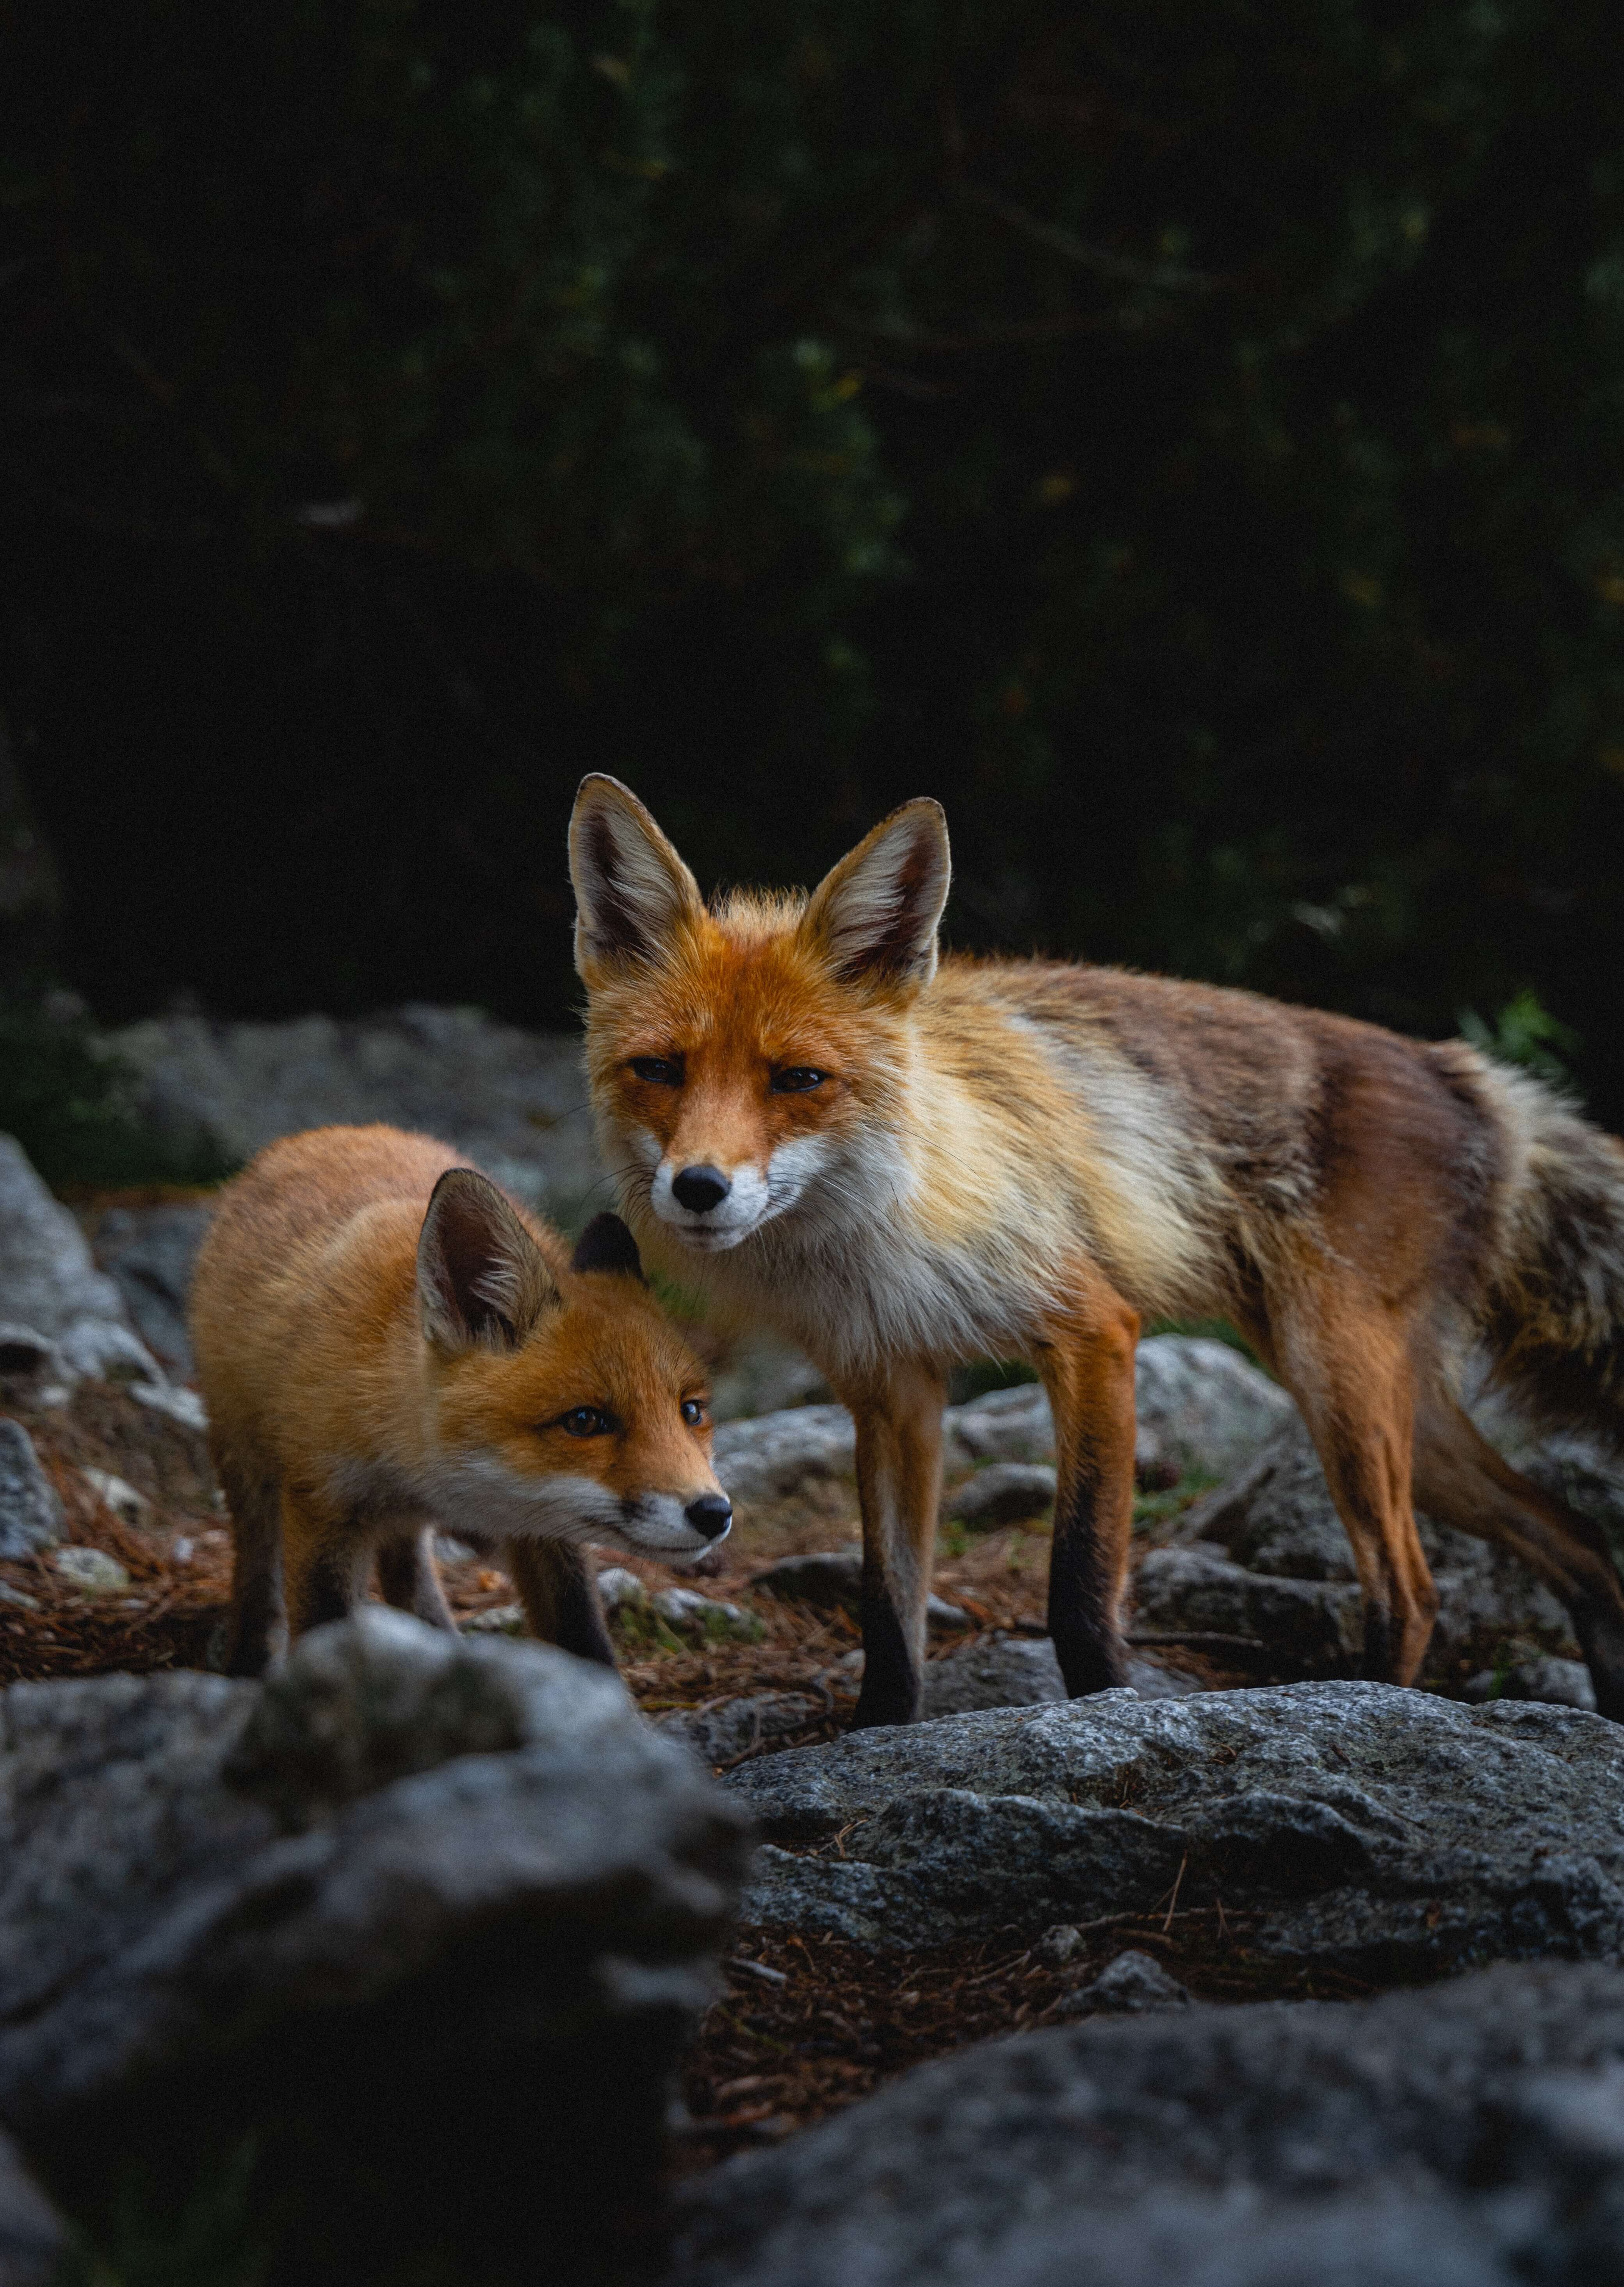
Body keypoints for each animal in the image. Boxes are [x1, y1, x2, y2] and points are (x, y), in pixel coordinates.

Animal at [191, 1125, 732, 1683]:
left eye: (691, 1412)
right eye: (584, 1421)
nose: (714, 1512)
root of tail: (323, 1134)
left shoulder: (544, 1533)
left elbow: (583, 1639)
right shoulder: (322, 1506)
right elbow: (323, 1633)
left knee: (407, 1572)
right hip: (248, 1469)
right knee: (259, 1574)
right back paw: (248, 1661)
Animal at [569, 768, 1624, 1720]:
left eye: (797, 1078)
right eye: (659, 1070)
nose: (698, 1186)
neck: (874, 1232)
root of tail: (1462, 1068)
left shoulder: (1094, 1332)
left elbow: (1077, 1585)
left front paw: (1109, 1710)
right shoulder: (892, 1385)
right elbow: (889, 1607)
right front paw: (876, 1732)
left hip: (1338, 1382)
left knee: (1413, 1590)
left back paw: (1367, 1703)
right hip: (1390, 1409)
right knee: (1578, 1540)